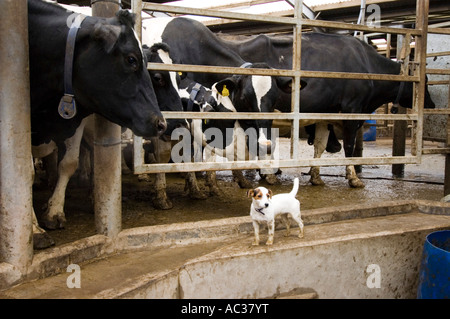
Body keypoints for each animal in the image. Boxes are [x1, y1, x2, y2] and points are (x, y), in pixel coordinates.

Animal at [29, 0, 167, 248]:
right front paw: (36, 229)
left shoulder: (75, 119)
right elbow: (26, 173)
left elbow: (69, 163)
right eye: (131, 59)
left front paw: (54, 211)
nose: (161, 123)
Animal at [220, 32, 434, 188]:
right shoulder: (352, 109)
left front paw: (315, 176)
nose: (431, 104)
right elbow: (349, 146)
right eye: (425, 81)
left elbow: (320, 146)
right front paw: (353, 178)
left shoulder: (323, 113)